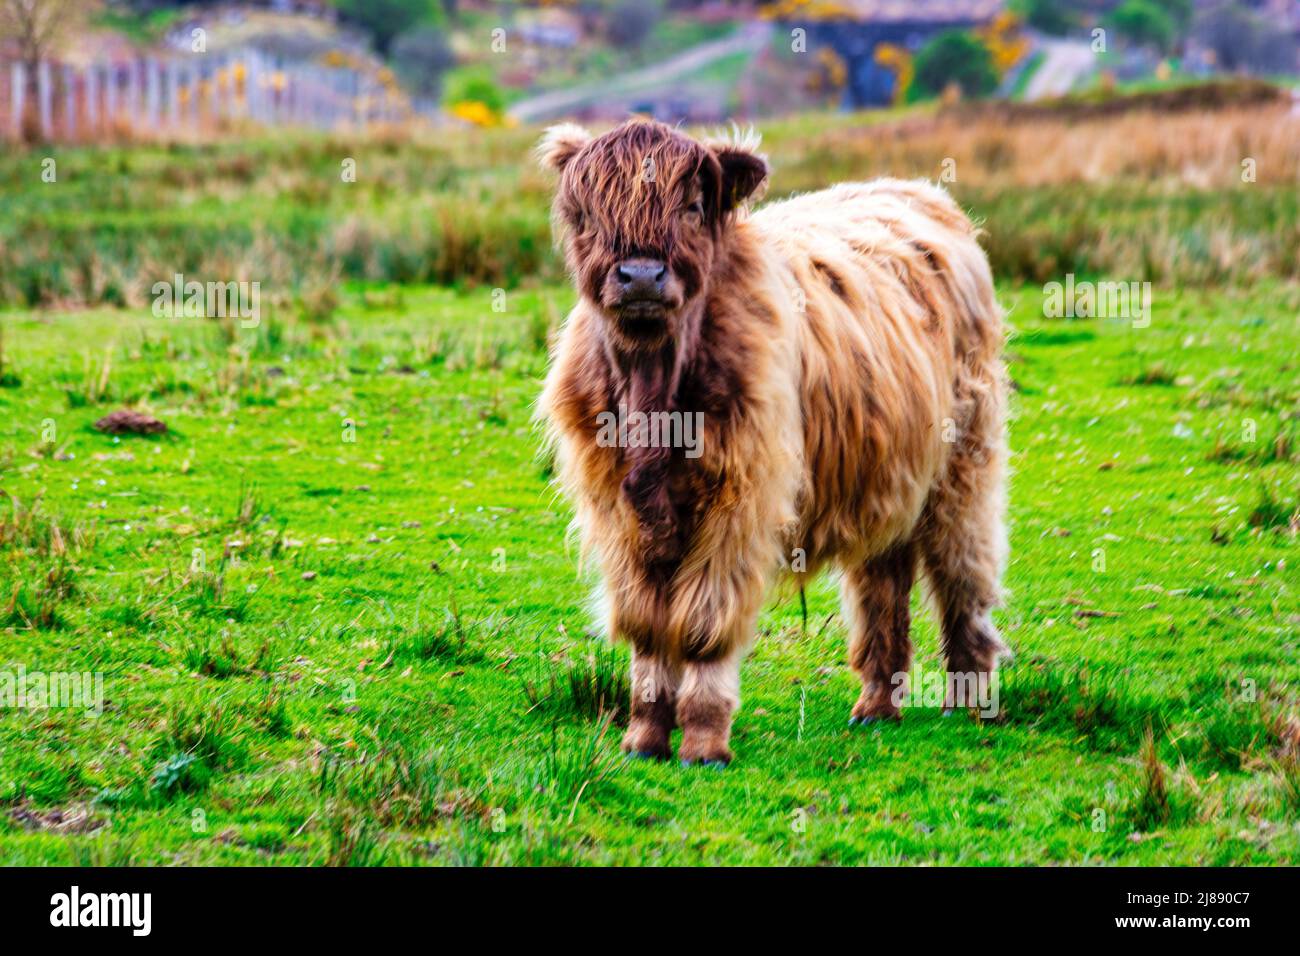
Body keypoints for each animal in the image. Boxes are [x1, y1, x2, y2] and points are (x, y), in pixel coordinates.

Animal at [533, 119, 1008, 764]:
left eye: (693, 206)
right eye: (586, 213)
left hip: (964, 464)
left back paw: (969, 700)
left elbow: (704, 623)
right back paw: (876, 705)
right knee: (884, 577)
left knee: (963, 575)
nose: (641, 276)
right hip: (884, 470)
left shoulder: (739, 499)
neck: (653, 390)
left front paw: (704, 741)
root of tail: (919, 193)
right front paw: (643, 737)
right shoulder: (618, 510)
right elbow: (647, 624)